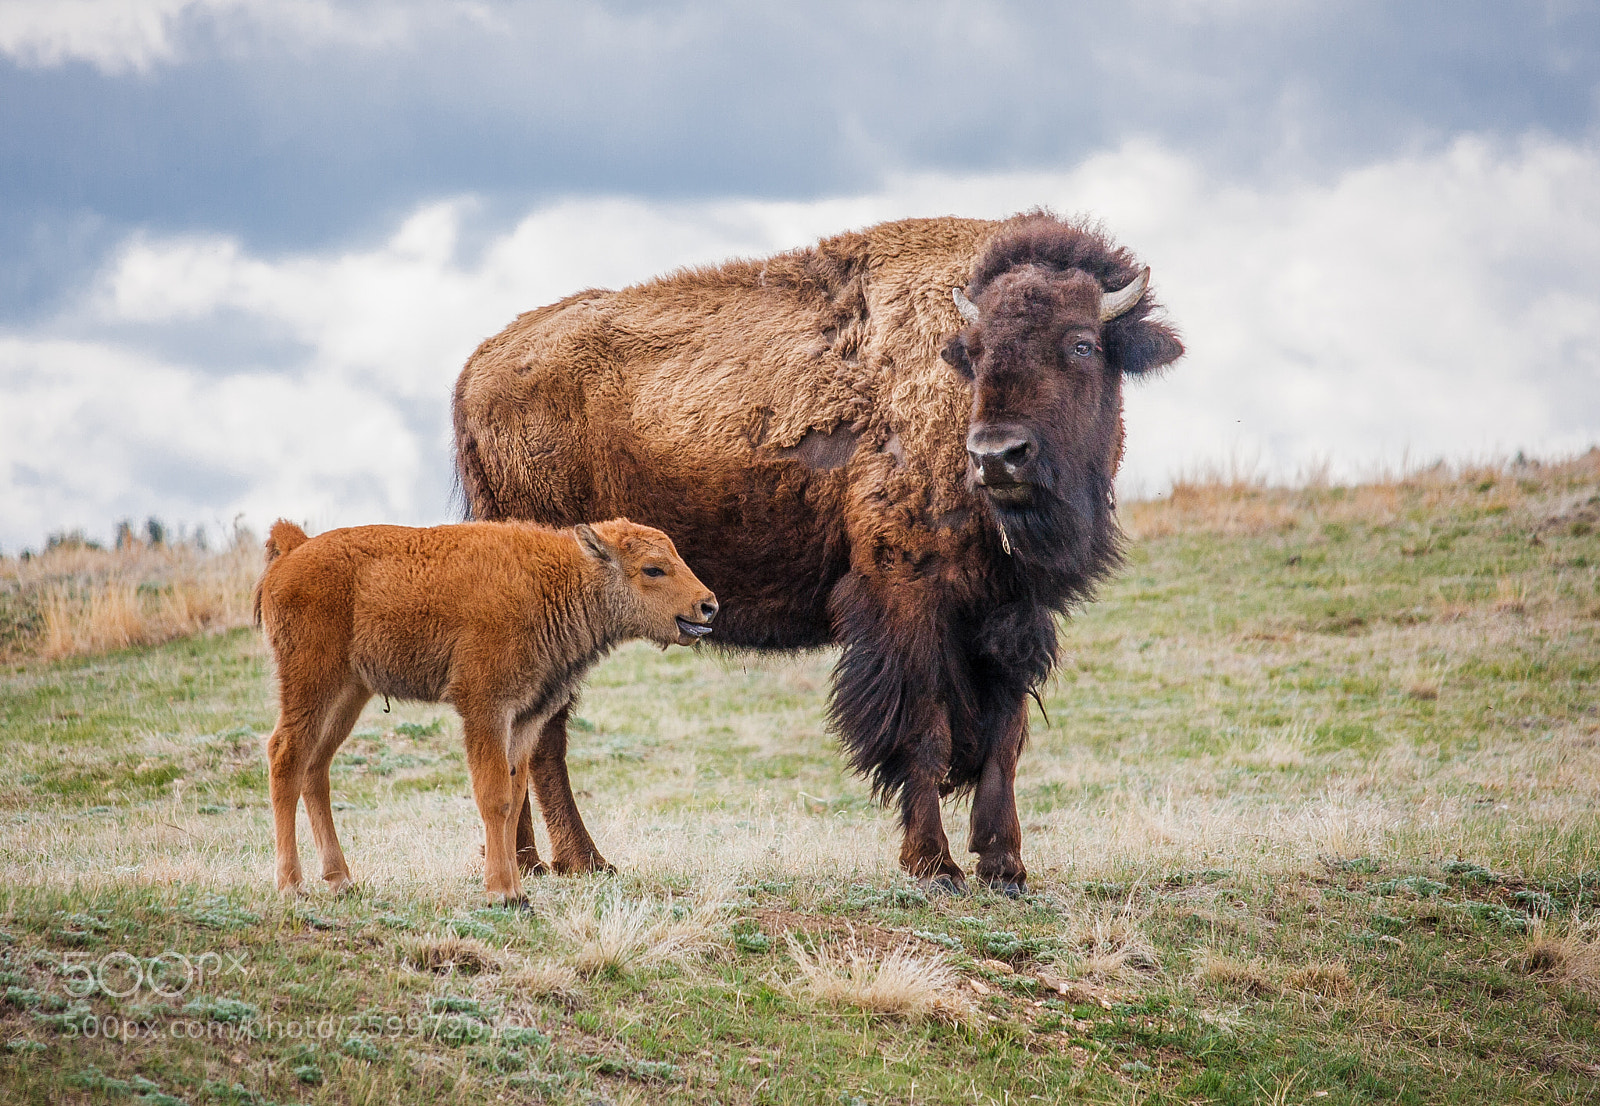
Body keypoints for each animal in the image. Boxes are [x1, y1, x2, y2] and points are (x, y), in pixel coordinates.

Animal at [251, 517, 718, 902]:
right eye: (653, 569)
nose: (708, 605)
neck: (561, 578)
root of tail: (295, 550)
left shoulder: (525, 717)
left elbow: (514, 796)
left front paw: (517, 889)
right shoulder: (486, 709)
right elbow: (493, 796)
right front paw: (501, 893)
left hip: (349, 693)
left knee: (316, 769)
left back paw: (342, 880)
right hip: (312, 682)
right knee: (286, 757)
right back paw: (291, 885)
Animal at [452, 212, 1183, 893]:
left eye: (1082, 343)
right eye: (972, 352)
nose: (997, 454)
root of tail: (478, 367)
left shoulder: (1013, 612)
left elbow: (1004, 740)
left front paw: (1005, 868)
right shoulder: (905, 597)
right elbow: (924, 730)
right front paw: (934, 865)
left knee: (524, 731)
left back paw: (530, 863)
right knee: (545, 733)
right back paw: (583, 862)